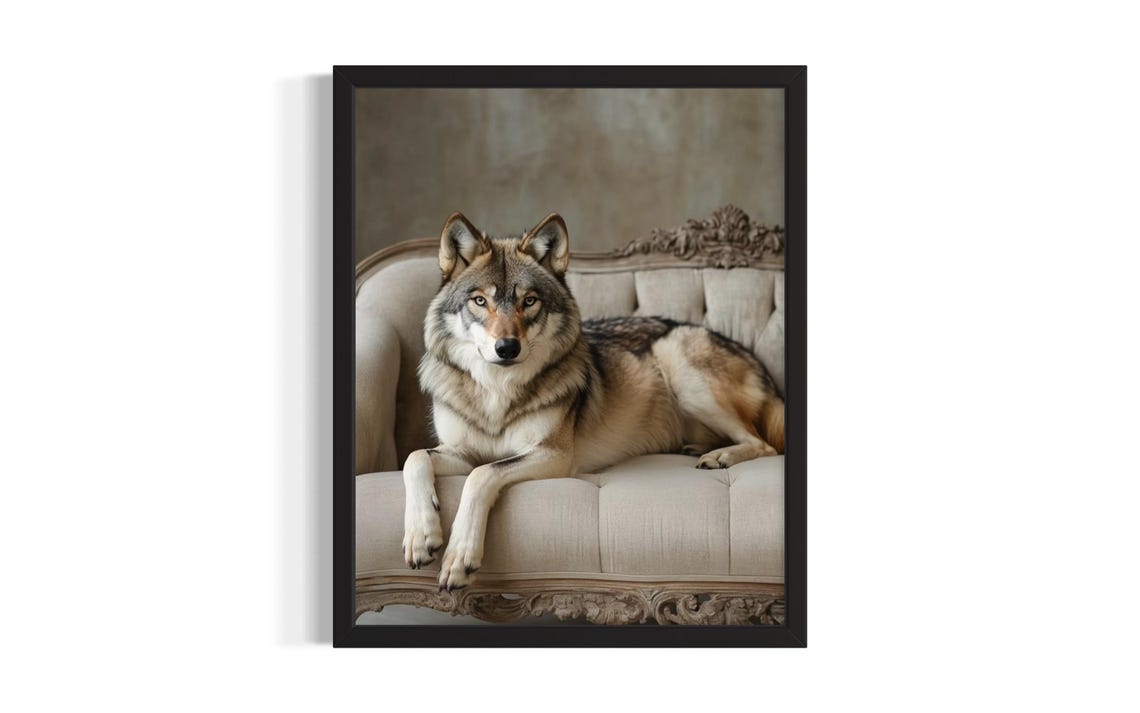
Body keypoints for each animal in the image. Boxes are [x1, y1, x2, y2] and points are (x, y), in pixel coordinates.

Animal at [403, 212, 785, 590]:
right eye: (480, 301)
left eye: (530, 301)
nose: (507, 348)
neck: (497, 390)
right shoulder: (462, 452)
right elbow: (416, 457)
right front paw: (421, 536)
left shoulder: (553, 456)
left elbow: (482, 474)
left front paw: (459, 557)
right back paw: (697, 448)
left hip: (679, 363)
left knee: (763, 444)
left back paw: (720, 456)